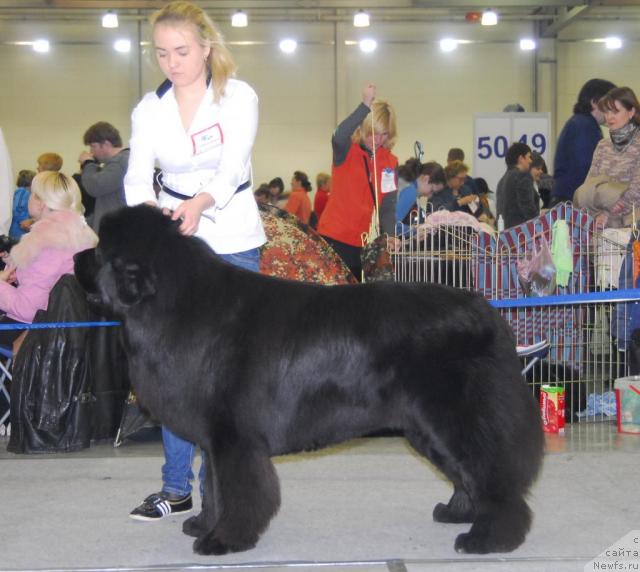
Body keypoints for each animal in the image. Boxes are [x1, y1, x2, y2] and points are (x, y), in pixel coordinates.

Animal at [75, 208, 544, 556]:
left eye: (99, 250)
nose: (76, 259)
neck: (173, 303)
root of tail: (487, 312)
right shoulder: (214, 439)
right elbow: (213, 487)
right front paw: (202, 525)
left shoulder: (234, 437)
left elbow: (239, 491)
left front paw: (224, 540)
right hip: (426, 426)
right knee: (466, 471)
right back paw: (458, 512)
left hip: (454, 416)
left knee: (490, 470)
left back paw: (490, 537)